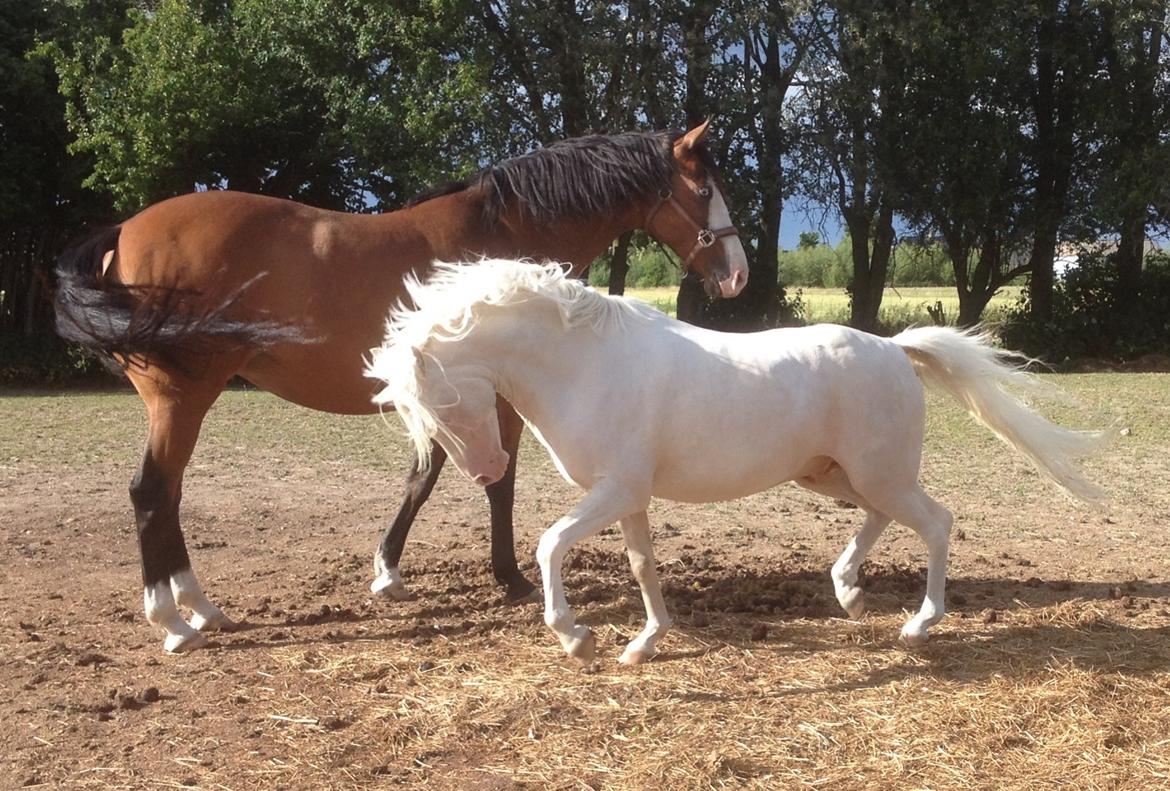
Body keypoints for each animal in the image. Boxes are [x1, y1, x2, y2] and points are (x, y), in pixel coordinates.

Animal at [52, 123, 749, 654]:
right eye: (704, 188)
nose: (738, 275)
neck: (505, 233)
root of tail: (124, 231)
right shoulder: (496, 399)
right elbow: (495, 481)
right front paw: (511, 578)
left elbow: (425, 474)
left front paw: (387, 571)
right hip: (183, 397)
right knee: (151, 492)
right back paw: (174, 621)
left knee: (166, 495)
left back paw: (199, 607)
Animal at [366, 259, 1108, 665]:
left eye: (438, 401)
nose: (490, 470)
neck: (586, 363)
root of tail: (895, 349)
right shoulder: (628, 496)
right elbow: (642, 566)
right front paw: (643, 644)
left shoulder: (614, 490)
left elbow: (549, 544)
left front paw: (577, 639)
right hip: (834, 474)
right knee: (879, 520)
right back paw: (847, 591)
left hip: (879, 473)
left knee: (935, 523)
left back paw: (918, 625)